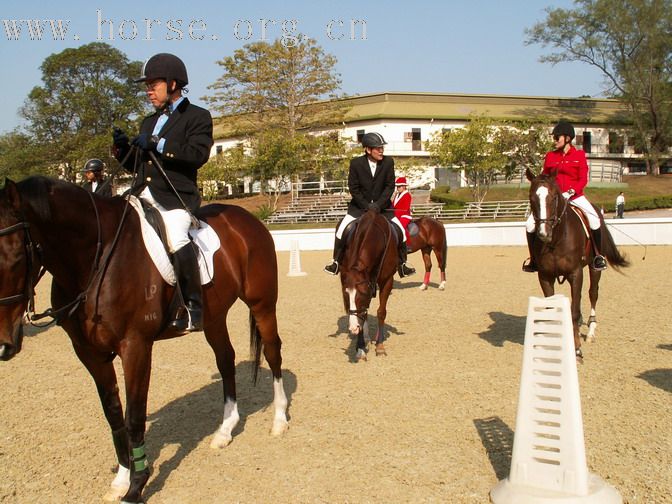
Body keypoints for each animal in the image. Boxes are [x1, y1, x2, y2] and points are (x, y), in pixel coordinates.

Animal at [0, 176, 286, 500]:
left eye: (16, 257)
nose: (4, 345)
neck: (97, 258)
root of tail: (247, 219)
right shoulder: (89, 353)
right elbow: (114, 416)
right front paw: (122, 479)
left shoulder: (135, 346)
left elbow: (134, 416)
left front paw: (137, 486)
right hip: (214, 317)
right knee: (226, 360)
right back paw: (225, 431)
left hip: (262, 303)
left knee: (273, 352)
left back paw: (279, 420)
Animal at [342, 210, 400, 362]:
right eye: (346, 294)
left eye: (362, 293)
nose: (353, 328)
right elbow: (362, 314)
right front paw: (361, 348)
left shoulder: (387, 281)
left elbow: (381, 312)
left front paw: (379, 346)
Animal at [524, 168, 632, 358]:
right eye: (531, 198)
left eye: (554, 197)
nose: (543, 233)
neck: (556, 239)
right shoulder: (545, 276)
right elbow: (551, 309)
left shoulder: (575, 273)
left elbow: (574, 310)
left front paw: (576, 348)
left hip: (594, 268)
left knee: (592, 293)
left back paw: (590, 331)